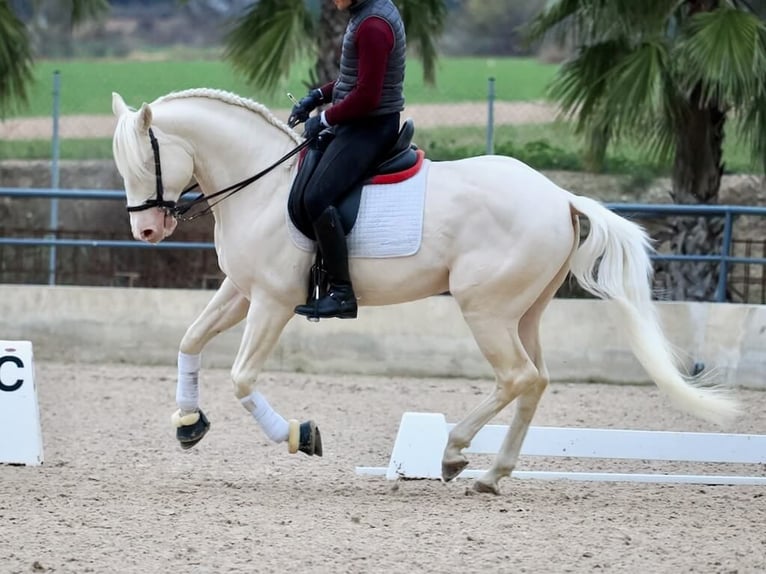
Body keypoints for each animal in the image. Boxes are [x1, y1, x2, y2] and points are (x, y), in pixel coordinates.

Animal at [111, 88, 740, 498]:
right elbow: (189, 341)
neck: (262, 185)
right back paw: (490, 475)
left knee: (516, 377)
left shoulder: (272, 301)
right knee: (535, 382)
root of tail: (561, 197)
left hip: (485, 310)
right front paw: (188, 422)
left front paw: (300, 435)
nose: (146, 232)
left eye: (147, 161)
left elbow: (242, 378)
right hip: (524, 313)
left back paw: (455, 452)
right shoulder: (241, 290)